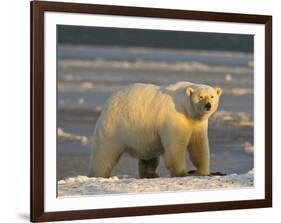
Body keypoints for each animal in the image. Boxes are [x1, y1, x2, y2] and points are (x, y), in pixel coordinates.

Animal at [87, 82, 221, 178]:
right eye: (201, 97)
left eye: (212, 96)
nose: (208, 105)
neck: (185, 109)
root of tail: (108, 102)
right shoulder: (174, 119)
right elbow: (176, 147)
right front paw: (181, 173)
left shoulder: (197, 124)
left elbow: (199, 146)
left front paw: (203, 171)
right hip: (114, 127)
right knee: (104, 153)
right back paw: (98, 174)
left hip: (145, 135)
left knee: (149, 156)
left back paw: (150, 174)